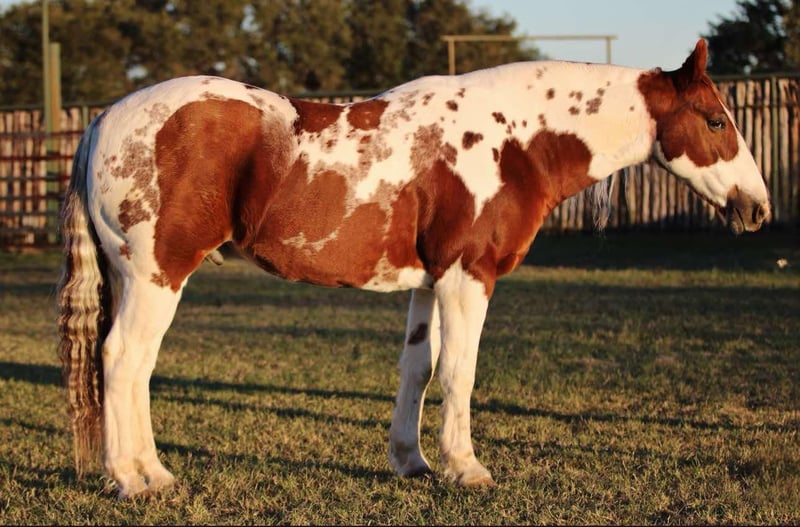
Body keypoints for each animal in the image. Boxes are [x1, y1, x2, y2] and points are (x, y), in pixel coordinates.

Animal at [57, 39, 770, 498]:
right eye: (716, 120)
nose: (757, 207)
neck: (513, 141)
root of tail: (102, 122)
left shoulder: (430, 283)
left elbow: (418, 368)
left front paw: (413, 462)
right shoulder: (468, 277)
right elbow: (460, 372)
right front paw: (466, 468)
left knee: (127, 365)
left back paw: (142, 473)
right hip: (156, 277)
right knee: (125, 361)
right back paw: (136, 479)